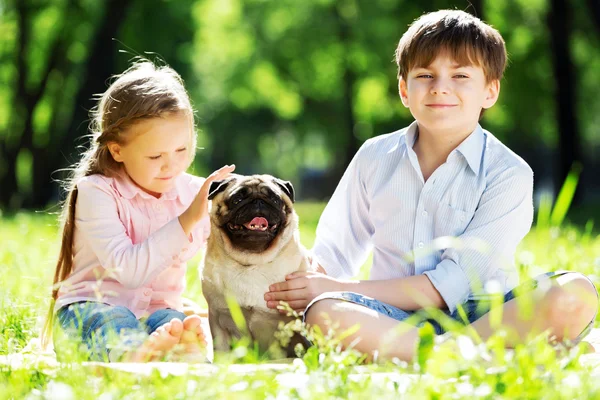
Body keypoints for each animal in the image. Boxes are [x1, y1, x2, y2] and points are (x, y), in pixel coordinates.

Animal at [202, 173, 314, 354]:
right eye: (237, 199)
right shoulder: (218, 321)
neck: (252, 263)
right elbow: (222, 351)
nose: (258, 202)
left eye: (275, 200)